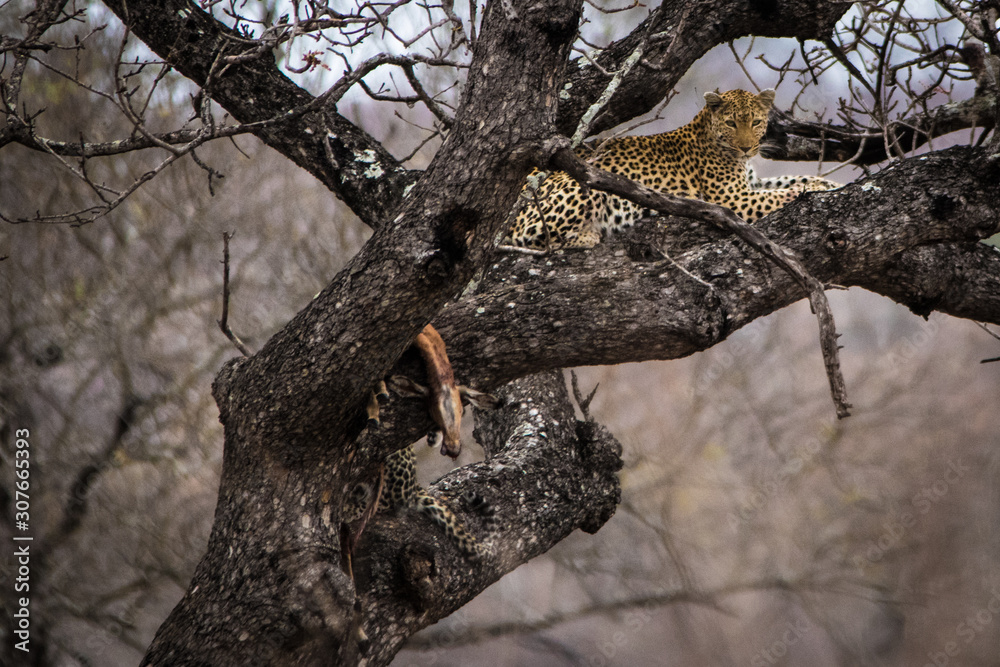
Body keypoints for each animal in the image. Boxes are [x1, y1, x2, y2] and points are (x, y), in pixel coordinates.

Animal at [507, 88, 839, 250]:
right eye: (732, 123)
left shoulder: (749, 185)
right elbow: (781, 193)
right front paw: (808, 189)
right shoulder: (732, 199)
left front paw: (828, 184)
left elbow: (788, 179)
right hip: (583, 183)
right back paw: (587, 235)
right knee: (528, 235)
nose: (747, 147)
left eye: (756, 122)